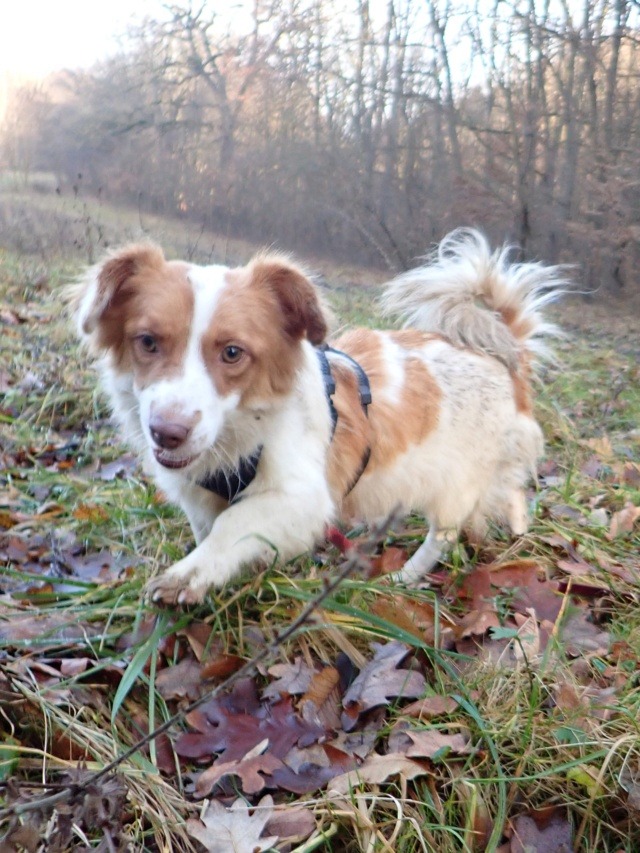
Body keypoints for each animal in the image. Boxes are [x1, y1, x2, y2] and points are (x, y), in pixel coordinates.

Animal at [70, 229, 564, 604]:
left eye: (232, 353)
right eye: (147, 342)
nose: (167, 433)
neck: (242, 432)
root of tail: (505, 358)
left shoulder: (303, 496)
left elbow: (236, 523)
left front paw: (191, 573)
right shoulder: (200, 495)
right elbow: (214, 529)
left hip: (455, 487)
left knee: (446, 534)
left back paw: (406, 576)